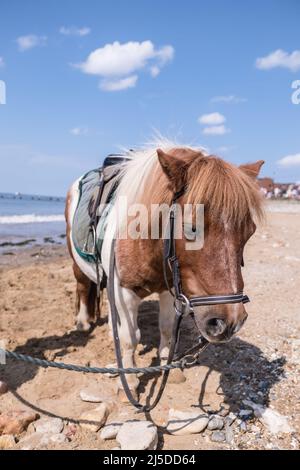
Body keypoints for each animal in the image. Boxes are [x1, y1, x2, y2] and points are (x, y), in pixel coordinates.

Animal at [65, 140, 262, 400]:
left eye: (250, 232)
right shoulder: (124, 291)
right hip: (79, 266)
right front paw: (129, 380)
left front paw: (169, 368)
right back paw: (83, 323)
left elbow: (167, 329)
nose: (230, 322)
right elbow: (130, 338)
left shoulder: (170, 290)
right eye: (191, 227)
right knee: (82, 287)